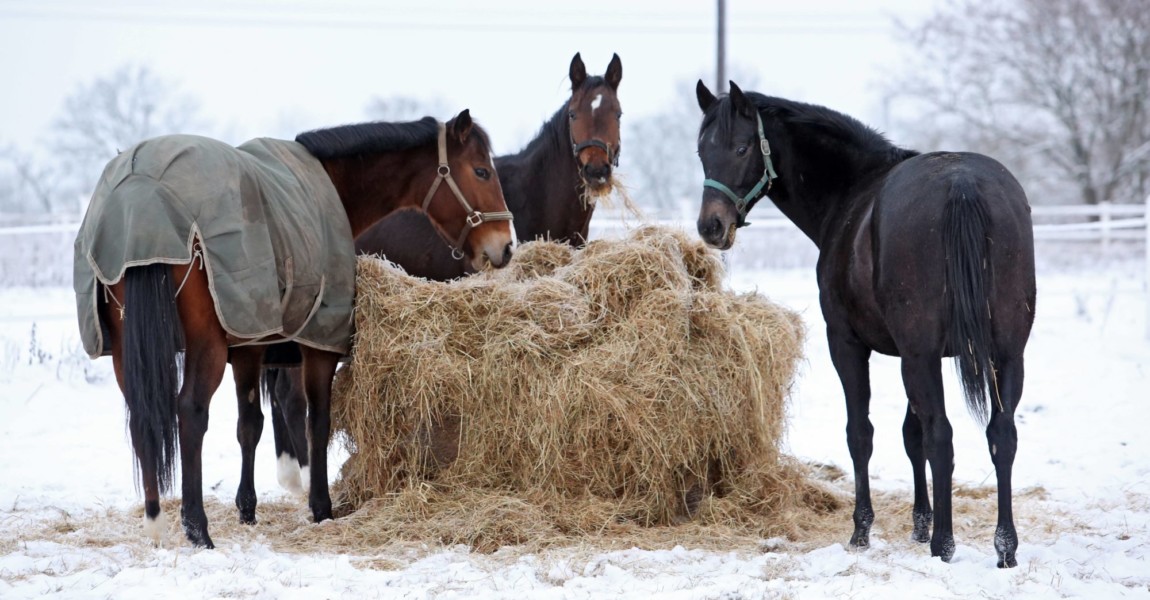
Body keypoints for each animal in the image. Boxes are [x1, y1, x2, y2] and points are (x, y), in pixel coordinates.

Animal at [78, 108, 515, 547]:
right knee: (190, 413)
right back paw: (196, 526)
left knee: (143, 419)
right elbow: (316, 422)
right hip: (206, 347)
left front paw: (247, 509)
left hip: (127, 350)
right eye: (481, 171)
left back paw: (155, 520)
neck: (330, 183)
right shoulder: (318, 345)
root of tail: (141, 198)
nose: (506, 246)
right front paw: (320, 508)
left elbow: (250, 425)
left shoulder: (250, 345)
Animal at [694, 79, 1039, 565]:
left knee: (943, 437)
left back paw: (945, 544)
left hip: (923, 356)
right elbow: (911, 435)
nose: (711, 226)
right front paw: (919, 523)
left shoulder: (850, 344)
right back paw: (1005, 547)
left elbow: (862, 434)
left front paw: (862, 531)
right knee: (1000, 435)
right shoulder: (919, 355)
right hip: (1005, 353)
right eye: (702, 151)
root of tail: (961, 184)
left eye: (742, 148)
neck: (852, 191)